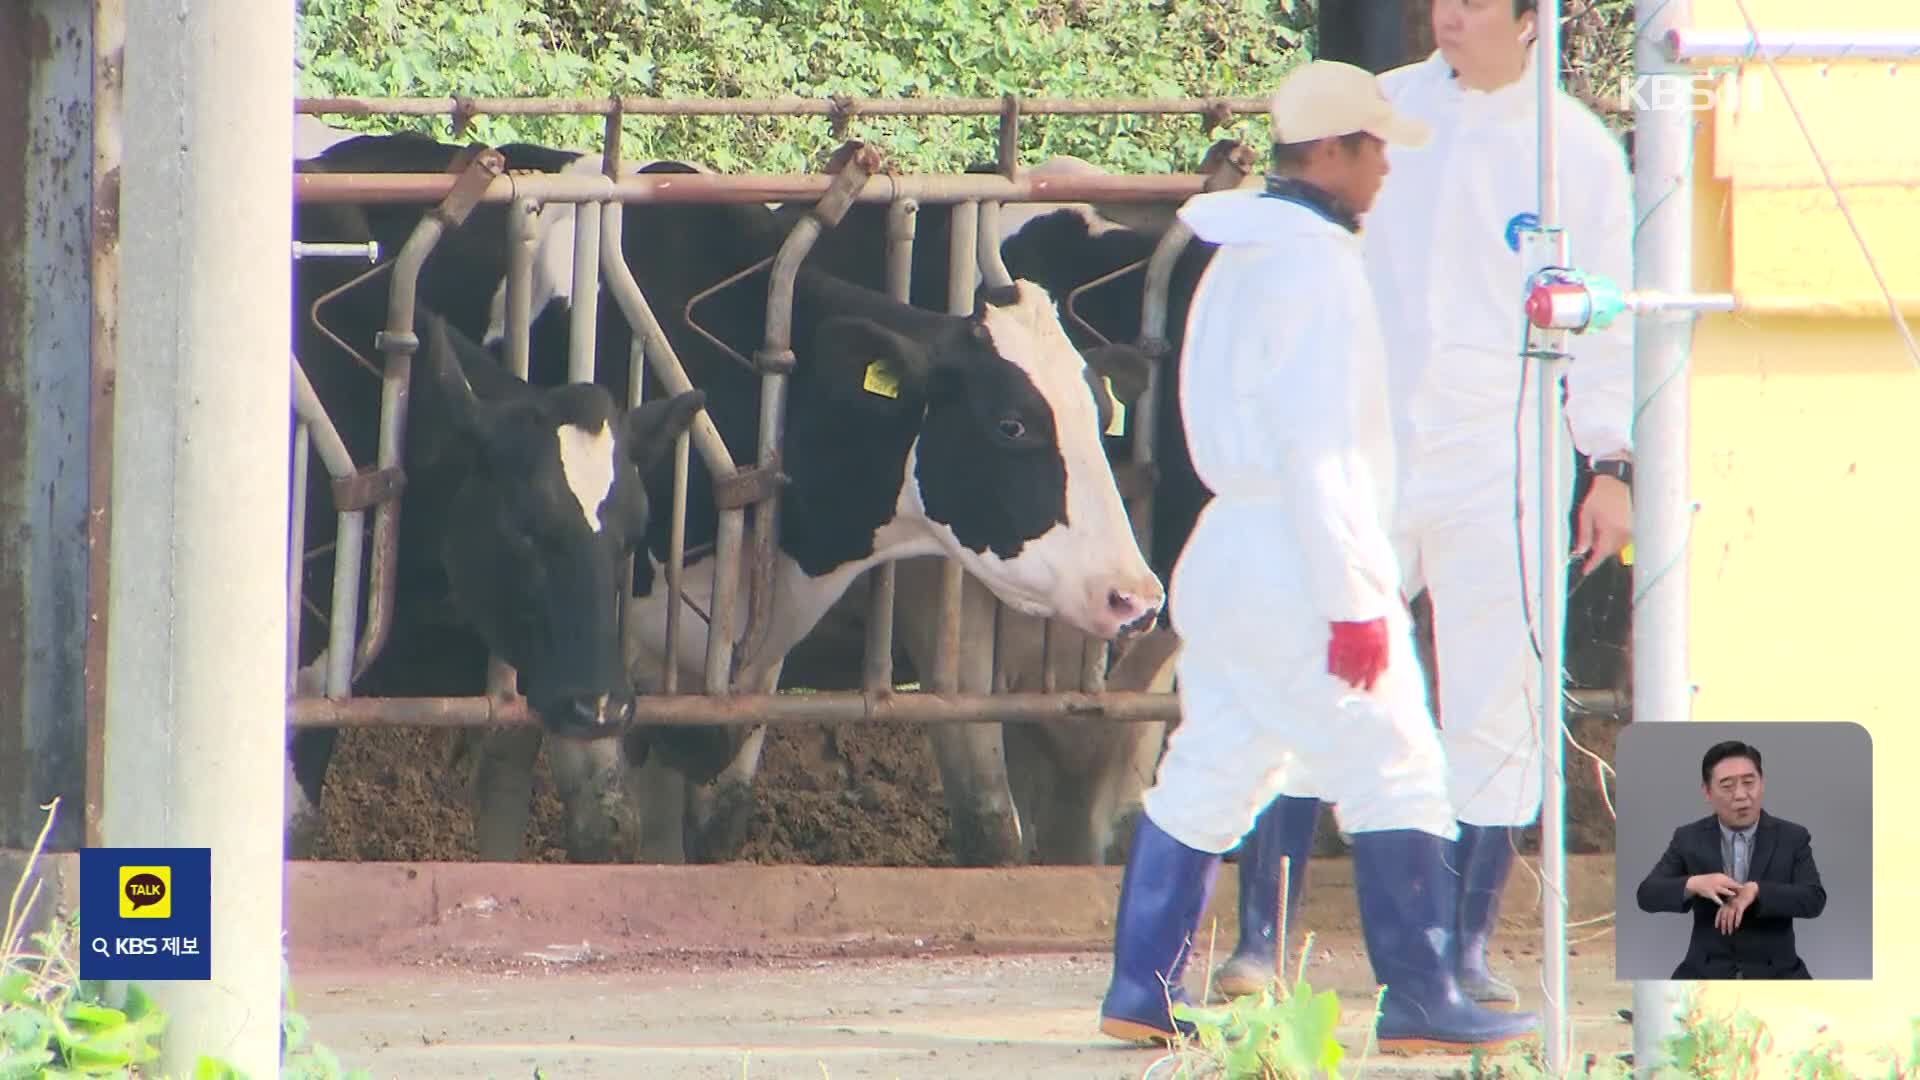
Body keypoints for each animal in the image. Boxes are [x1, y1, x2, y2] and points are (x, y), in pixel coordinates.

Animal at [282, 130, 1152, 860]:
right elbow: (606, 826)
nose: (1136, 597)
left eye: (1100, 416)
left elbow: (712, 822)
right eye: (1012, 424)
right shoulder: (595, 646)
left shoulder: (741, 664)